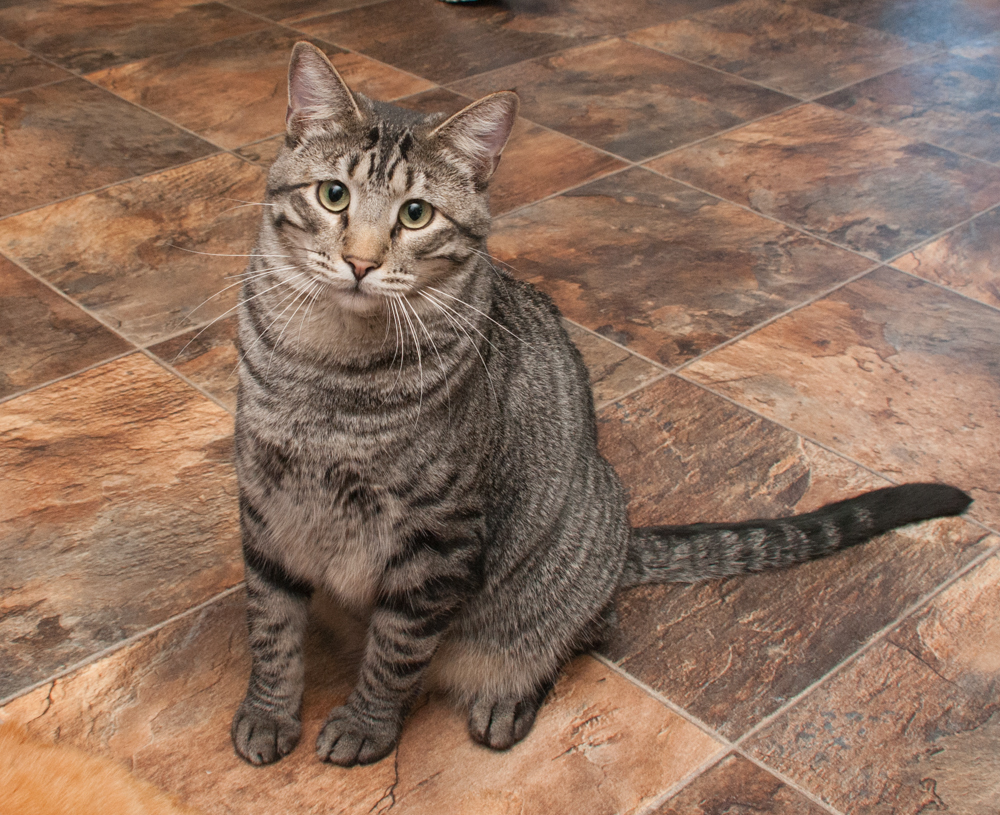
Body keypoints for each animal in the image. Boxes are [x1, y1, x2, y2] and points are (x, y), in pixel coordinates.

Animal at [232, 43, 968, 772]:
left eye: (416, 214)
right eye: (333, 195)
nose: (359, 262)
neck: (329, 373)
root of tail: (620, 540)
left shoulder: (440, 538)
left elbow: (395, 651)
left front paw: (365, 724)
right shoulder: (266, 510)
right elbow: (271, 631)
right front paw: (268, 713)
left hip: (550, 581)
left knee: (582, 633)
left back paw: (508, 701)